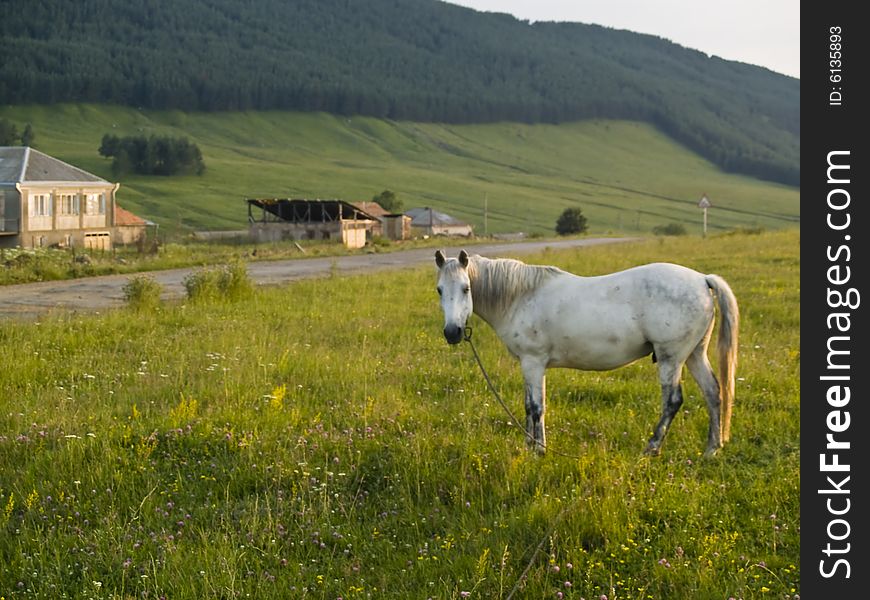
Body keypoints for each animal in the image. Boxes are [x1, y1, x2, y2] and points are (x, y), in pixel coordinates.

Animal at [436, 251, 744, 458]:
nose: (452, 332)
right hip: (694, 355)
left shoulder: (533, 362)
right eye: (439, 290)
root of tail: (702, 280)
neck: (521, 297)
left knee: (673, 401)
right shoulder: (531, 365)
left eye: (466, 288)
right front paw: (529, 445)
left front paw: (539, 451)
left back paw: (651, 448)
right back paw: (712, 449)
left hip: (671, 358)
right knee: (713, 392)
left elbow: (536, 407)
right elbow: (530, 406)